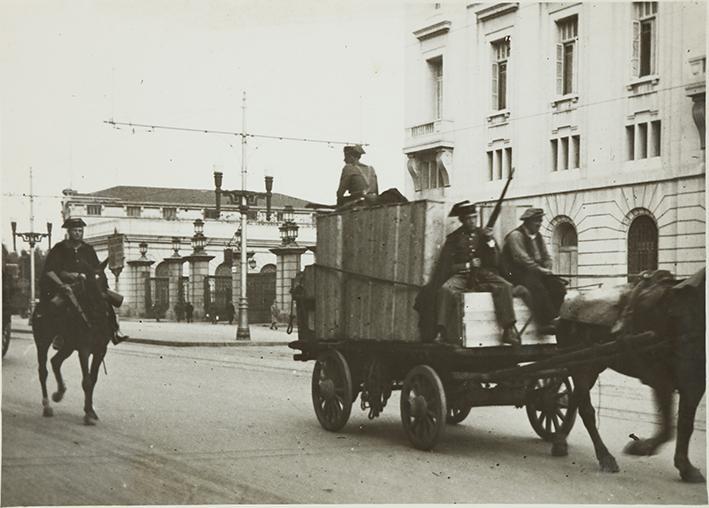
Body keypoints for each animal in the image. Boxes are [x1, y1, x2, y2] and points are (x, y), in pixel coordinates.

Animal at [32, 258, 114, 424]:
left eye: (105, 280)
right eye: (89, 283)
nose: (103, 308)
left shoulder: (100, 350)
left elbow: (93, 379)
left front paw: (90, 410)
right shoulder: (84, 350)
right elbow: (86, 381)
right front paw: (88, 413)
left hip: (68, 346)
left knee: (55, 362)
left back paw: (59, 392)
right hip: (42, 342)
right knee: (43, 371)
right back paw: (47, 406)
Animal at [552, 268, 704, 482]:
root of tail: (568, 301)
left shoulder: (679, 382)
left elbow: (673, 425)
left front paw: (645, 448)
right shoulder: (679, 381)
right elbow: (678, 425)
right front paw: (682, 465)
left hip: (592, 366)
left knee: (574, 399)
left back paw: (559, 441)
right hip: (581, 366)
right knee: (586, 410)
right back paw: (605, 457)